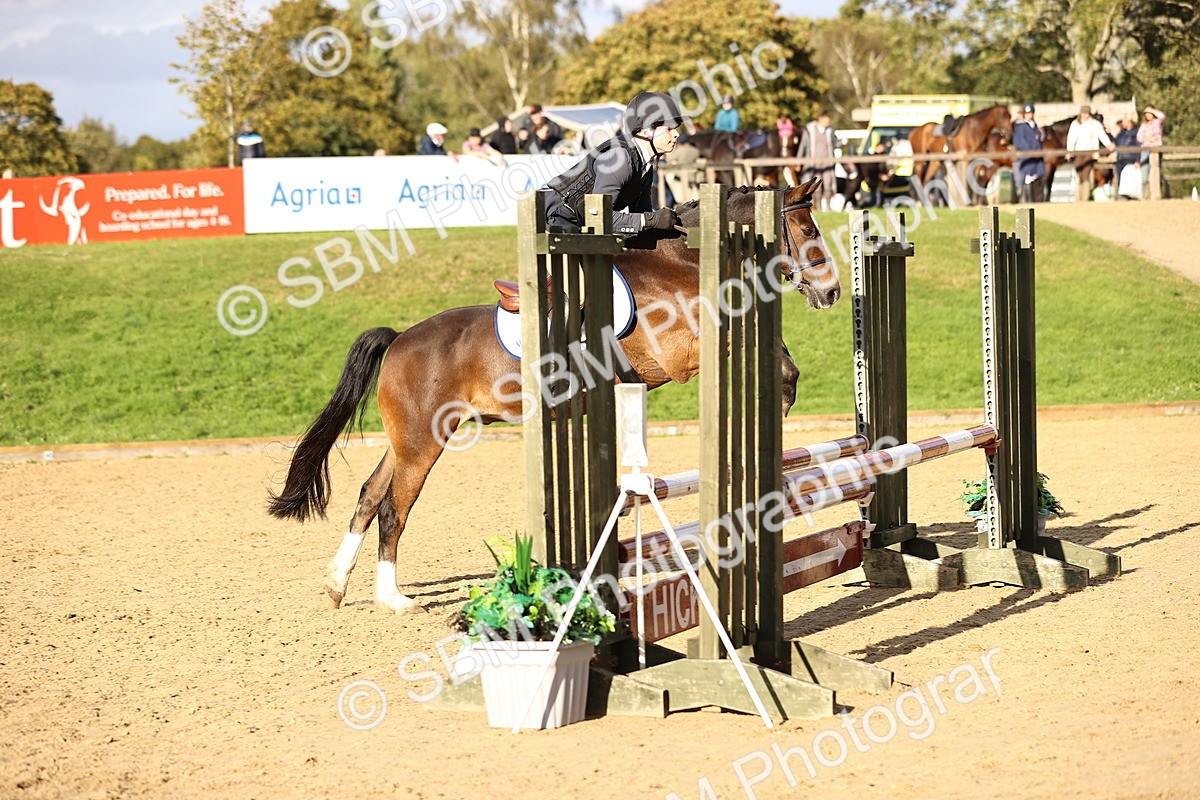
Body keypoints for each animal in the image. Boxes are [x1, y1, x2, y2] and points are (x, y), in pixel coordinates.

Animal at [266, 180, 842, 614]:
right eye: (808, 229)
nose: (833, 291)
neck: (680, 263)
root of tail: (401, 338)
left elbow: (779, 357)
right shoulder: (681, 355)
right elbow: (769, 359)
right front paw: (778, 407)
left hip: (408, 439)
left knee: (368, 494)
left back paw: (337, 583)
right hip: (422, 442)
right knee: (393, 507)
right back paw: (393, 599)